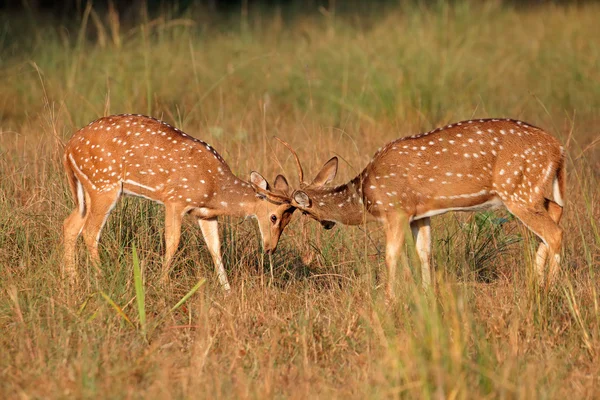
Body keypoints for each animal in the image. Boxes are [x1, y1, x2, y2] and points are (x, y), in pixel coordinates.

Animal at [62, 114, 294, 290]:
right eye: (273, 217)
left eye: (288, 221)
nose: (270, 249)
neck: (215, 189)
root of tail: (68, 148)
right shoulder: (175, 200)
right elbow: (173, 242)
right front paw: (161, 284)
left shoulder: (205, 214)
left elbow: (215, 248)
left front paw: (227, 291)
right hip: (104, 184)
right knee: (90, 231)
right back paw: (101, 278)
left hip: (88, 190)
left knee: (70, 224)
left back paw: (71, 280)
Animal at [262, 118, 564, 294]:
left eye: (294, 212)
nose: (327, 224)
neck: (365, 194)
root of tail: (558, 149)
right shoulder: (420, 214)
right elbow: (424, 253)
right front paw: (428, 295)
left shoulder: (395, 210)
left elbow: (391, 255)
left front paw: (389, 300)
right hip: (534, 190)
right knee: (556, 213)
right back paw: (536, 283)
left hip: (517, 189)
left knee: (555, 233)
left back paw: (550, 289)